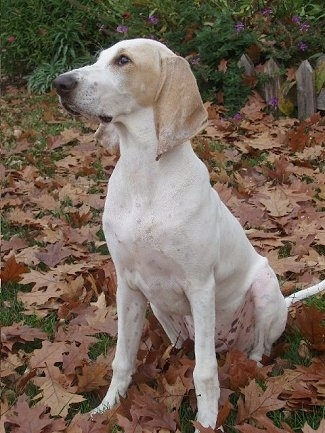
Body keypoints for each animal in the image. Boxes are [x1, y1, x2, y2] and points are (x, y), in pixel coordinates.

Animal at [53, 38, 324, 430]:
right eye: (99, 57)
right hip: (161, 308)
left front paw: (207, 421)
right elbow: (122, 358)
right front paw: (105, 409)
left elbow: (205, 373)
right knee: (183, 345)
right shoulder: (127, 284)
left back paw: (252, 365)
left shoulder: (200, 286)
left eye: (123, 60)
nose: (60, 84)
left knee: (257, 348)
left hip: (263, 289)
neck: (144, 175)